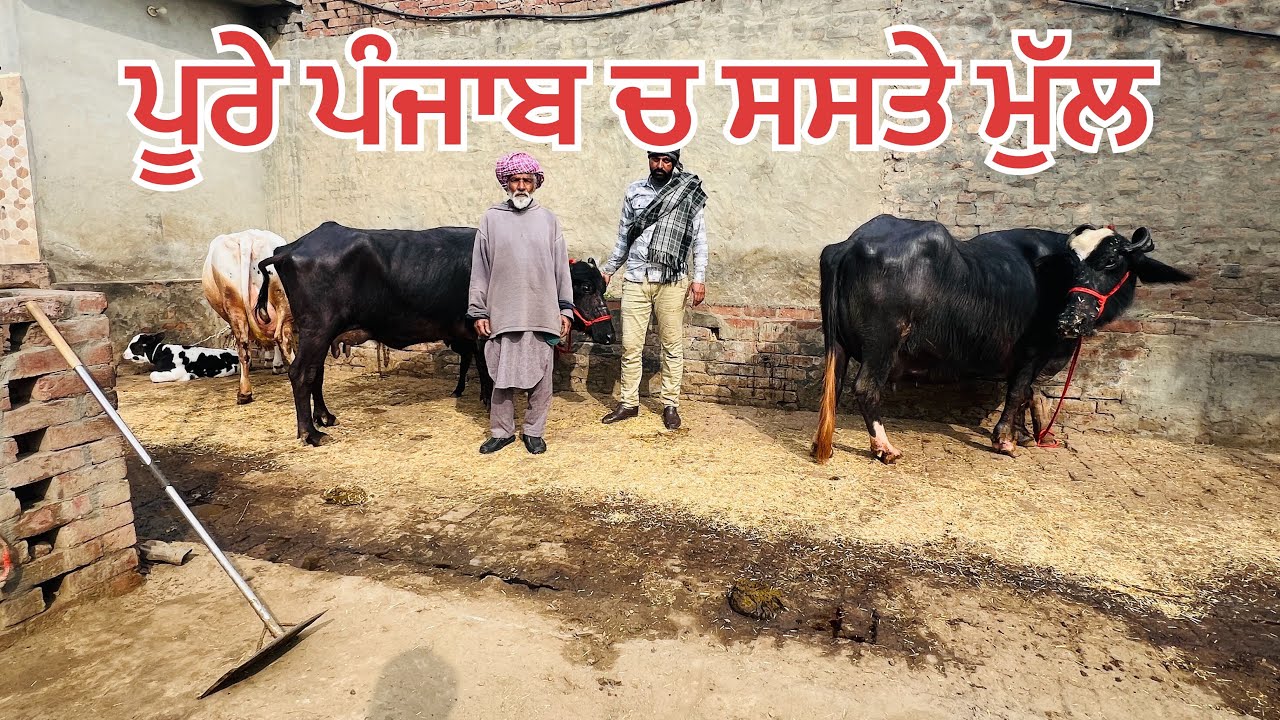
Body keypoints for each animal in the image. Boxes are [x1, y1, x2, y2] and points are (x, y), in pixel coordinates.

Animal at [202, 229, 297, 405]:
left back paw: (244, 392)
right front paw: (274, 363)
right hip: (282, 299)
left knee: (244, 345)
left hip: (234, 302)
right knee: (283, 339)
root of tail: (247, 237)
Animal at [254, 222, 616, 446]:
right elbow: (490, 370)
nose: (610, 335)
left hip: (320, 333)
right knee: (301, 373)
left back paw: (325, 417)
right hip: (318, 329)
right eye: (585, 287)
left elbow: (479, 367)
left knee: (315, 373)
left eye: (602, 287)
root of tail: (291, 247)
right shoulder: (485, 333)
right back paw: (310, 432)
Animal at [810, 214, 1193, 464]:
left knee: (834, 385)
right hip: (883, 345)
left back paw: (821, 445)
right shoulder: (1032, 351)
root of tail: (849, 245)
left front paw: (1028, 434)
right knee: (865, 388)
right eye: (1072, 265)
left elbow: (1030, 394)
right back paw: (885, 449)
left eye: (1112, 261)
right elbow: (1019, 391)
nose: (1070, 321)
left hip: (837, 345)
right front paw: (1005, 441)